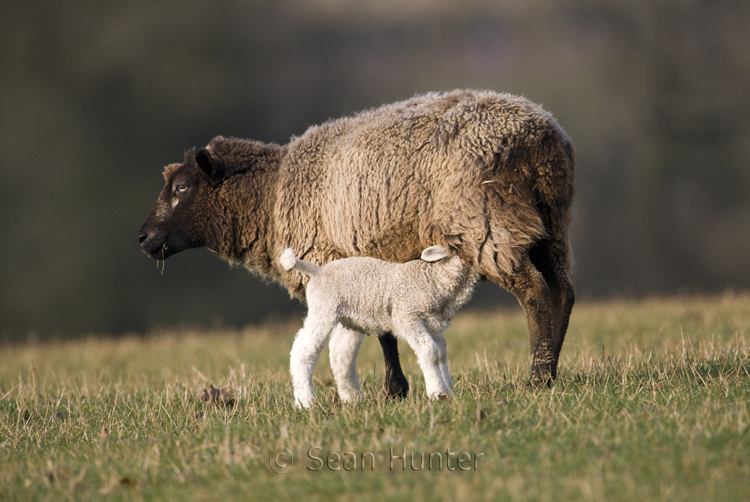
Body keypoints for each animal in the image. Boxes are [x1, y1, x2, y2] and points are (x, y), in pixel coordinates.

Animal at [280, 246, 482, 408]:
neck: (433, 279)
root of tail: (317, 270)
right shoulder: (407, 317)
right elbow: (429, 351)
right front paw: (437, 393)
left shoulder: (434, 327)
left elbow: (441, 355)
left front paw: (449, 392)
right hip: (323, 311)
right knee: (303, 351)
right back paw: (305, 402)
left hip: (348, 320)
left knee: (340, 354)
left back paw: (352, 399)